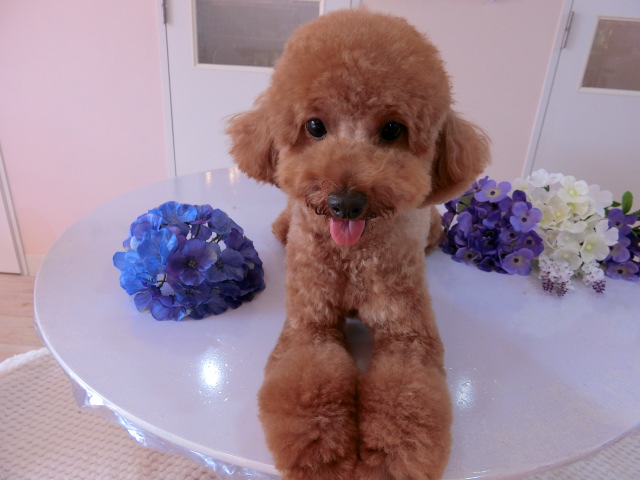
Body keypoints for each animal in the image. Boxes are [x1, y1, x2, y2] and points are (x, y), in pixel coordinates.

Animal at [227, 9, 489, 480]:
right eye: (315, 126)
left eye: (392, 129)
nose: (345, 202)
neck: (351, 257)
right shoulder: (309, 324)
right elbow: (311, 384)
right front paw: (325, 456)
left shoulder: (408, 333)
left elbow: (407, 398)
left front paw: (385, 459)